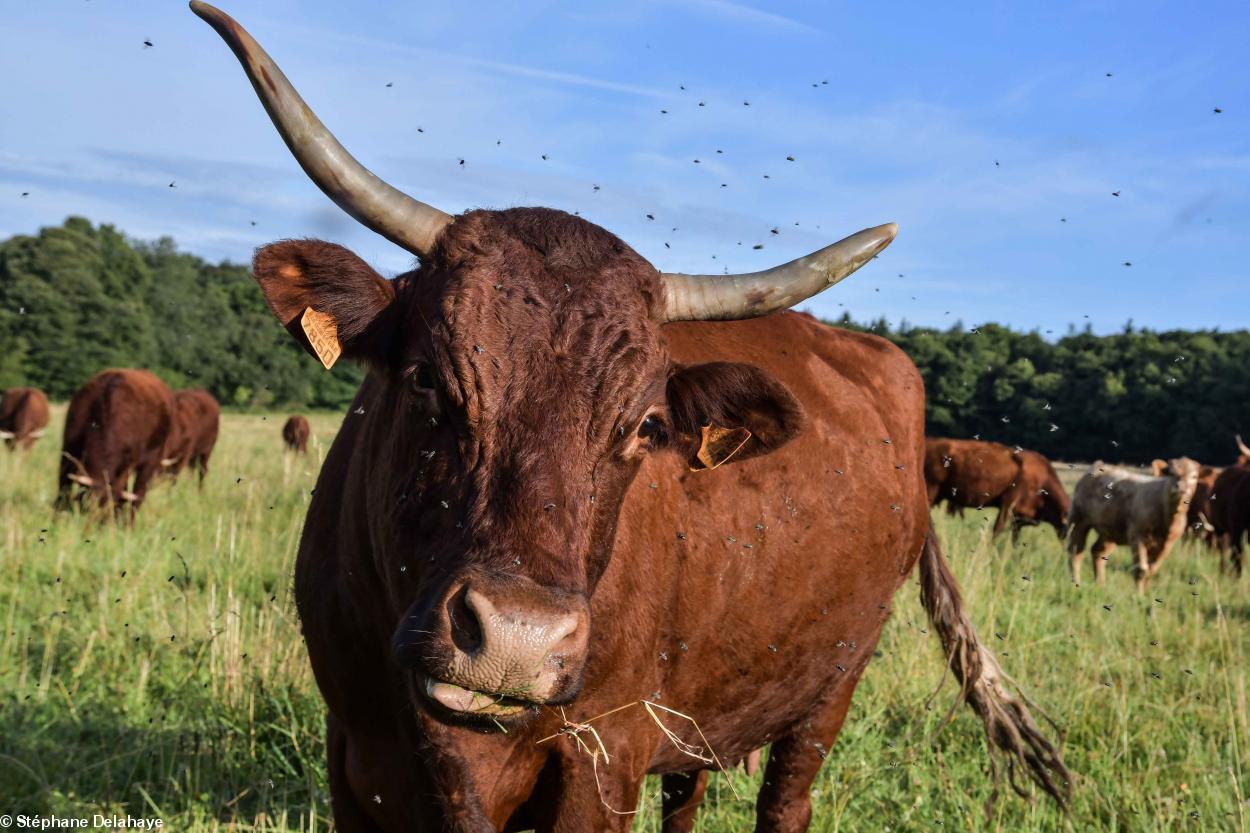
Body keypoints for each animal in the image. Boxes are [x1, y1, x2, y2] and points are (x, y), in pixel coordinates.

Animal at [1065, 457, 1200, 587]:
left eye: (1194, 476)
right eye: (1171, 473)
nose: (1181, 488)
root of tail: (1099, 465)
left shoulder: (1167, 545)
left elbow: (1151, 570)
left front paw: (1146, 593)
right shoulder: (1137, 536)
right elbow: (1141, 569)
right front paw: (1138, 594)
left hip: (1110, 531)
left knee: (1097, 552)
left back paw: (1100, 586)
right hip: (1078, 520)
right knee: (1076, 551)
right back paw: (1075, 582)